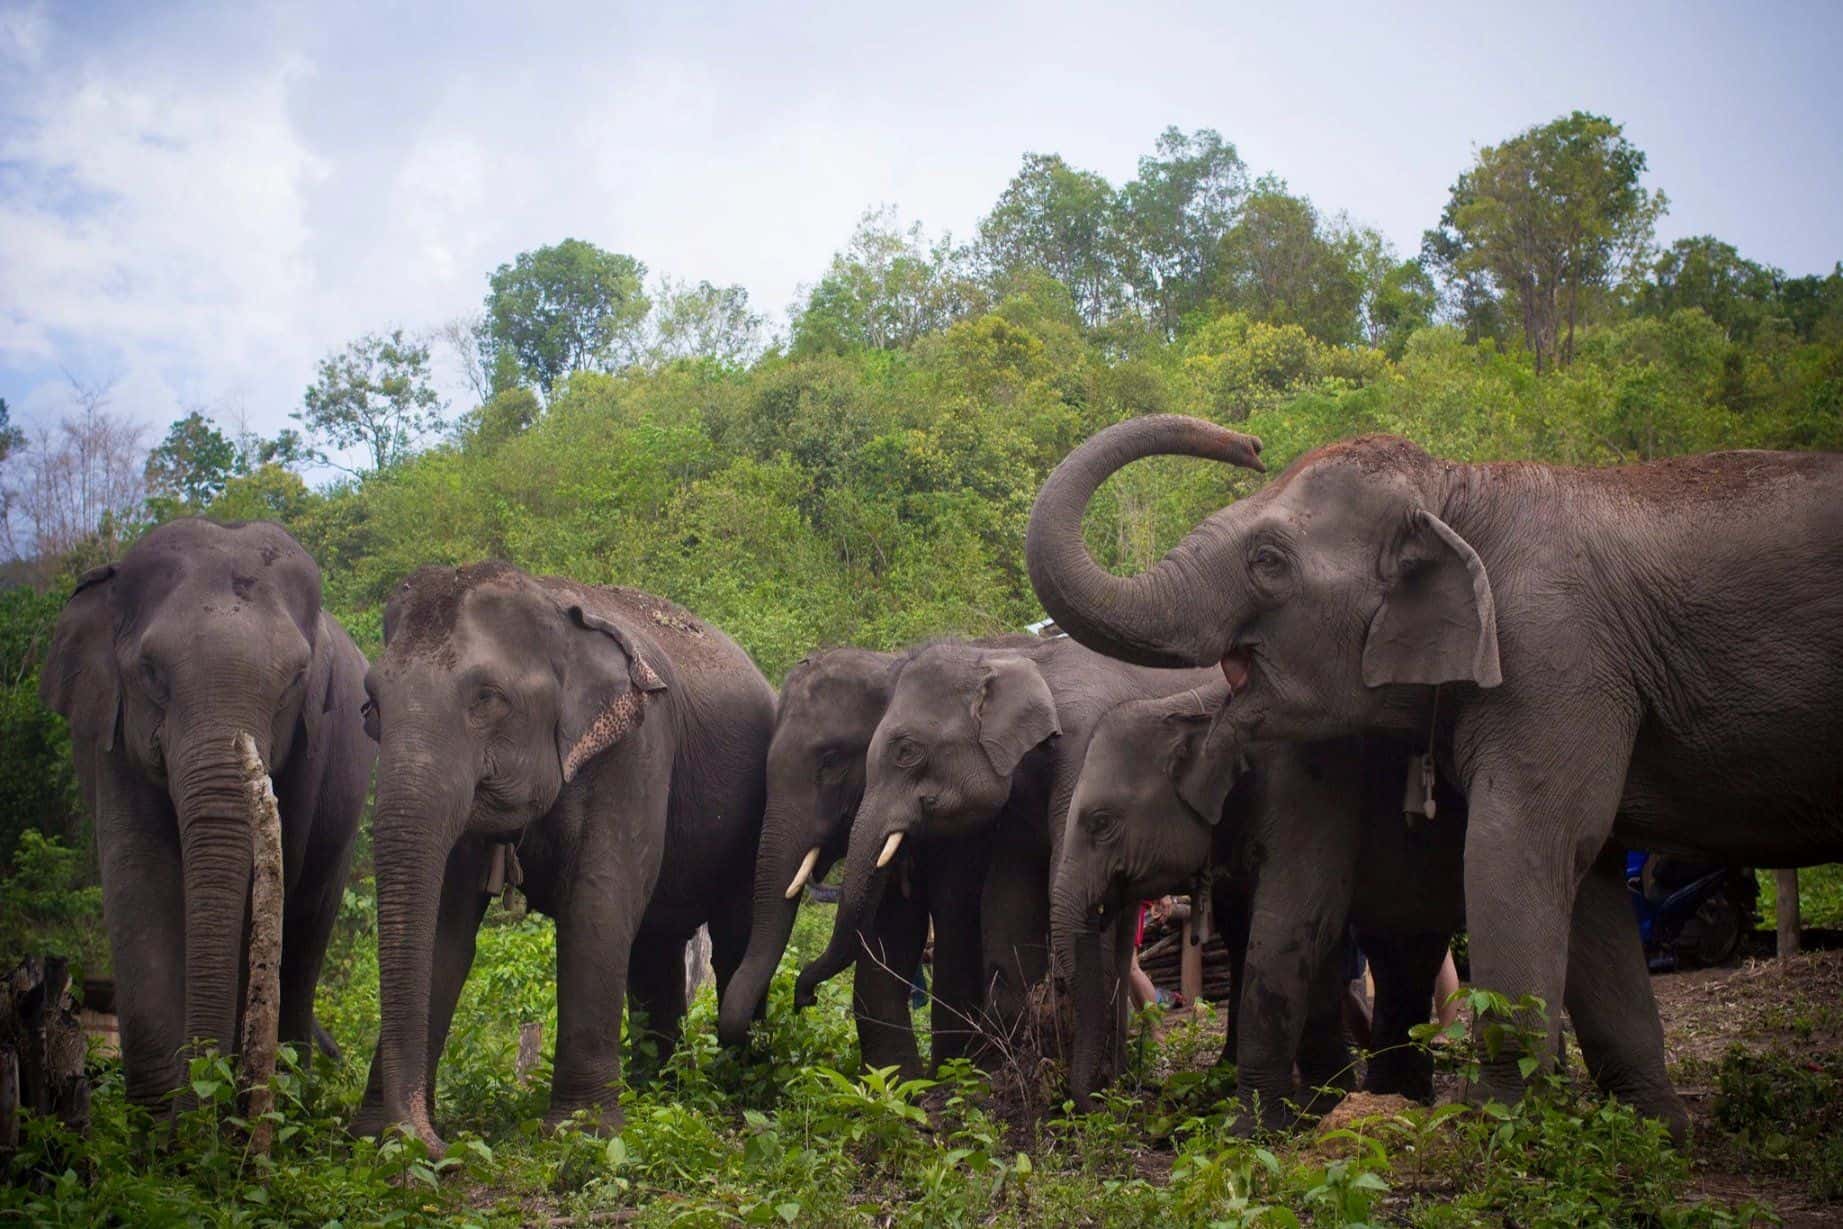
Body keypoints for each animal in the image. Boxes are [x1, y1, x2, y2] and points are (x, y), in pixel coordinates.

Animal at [39, 517, 373, 1111]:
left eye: (295, 679)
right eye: (150, 671)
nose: (204, 1092)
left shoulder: (311, 749)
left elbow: (265, 897)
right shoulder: (107, 741)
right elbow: (138, 880)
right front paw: (162, 1125)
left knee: (309, 921)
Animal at [351, 562, 774, 1155]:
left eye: (487, 697)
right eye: (373, 703)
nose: (432, 1142)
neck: (550, 602)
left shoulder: (638, 745)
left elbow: (597, 906)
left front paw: (583, 1133)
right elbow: (443, 926)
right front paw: (370, 1139)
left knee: (734, 940)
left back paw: (738, 1085)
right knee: (655, 946)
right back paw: (655, 1093)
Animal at [1052, 681, 1465, 1120]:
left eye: (1101, 822)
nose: (1107, 1103)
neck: (1187, 706)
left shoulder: (1308, 789)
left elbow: (1288, 929)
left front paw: (1260, 1121)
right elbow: (1310, 941)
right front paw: (1319, 1105)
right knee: (1403, 948)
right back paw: (1398, 1093)